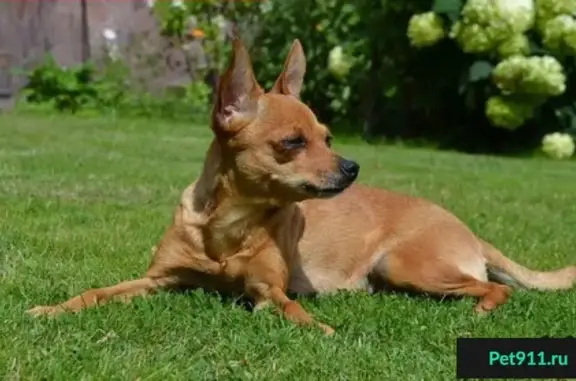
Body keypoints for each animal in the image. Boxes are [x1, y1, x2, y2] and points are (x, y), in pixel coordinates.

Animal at [28, 38, 576, 334]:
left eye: (328, 137)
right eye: (293, 142)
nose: (352, 167)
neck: (231, 226)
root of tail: (468, 230)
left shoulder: (268, 290)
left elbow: (291, 310)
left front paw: (322, 329)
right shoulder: (157, 281)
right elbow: (96, 294)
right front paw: (51, 308)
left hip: (406, 264)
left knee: (496, 288)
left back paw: (481, 310)